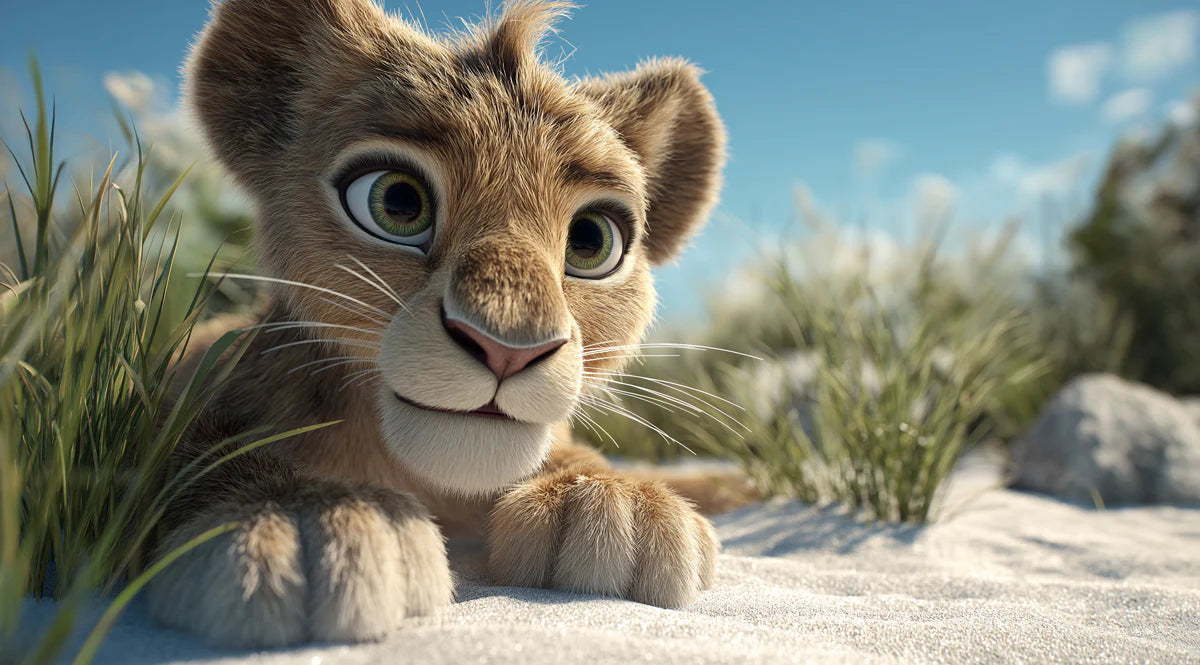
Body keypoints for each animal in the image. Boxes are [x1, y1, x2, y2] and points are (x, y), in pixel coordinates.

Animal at [145, 0, 739, 648]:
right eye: (398, 203)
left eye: (591, 240)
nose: (507, 351)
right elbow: (188, 452)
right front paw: (303, 519)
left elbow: (572, 454)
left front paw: (616, 505)